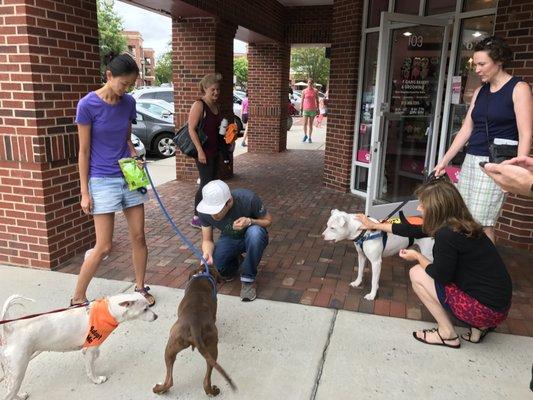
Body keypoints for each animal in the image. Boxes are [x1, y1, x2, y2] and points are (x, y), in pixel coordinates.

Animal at [154, 264, 237, 396]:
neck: (202, 273)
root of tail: (195, 324)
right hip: (211, 348)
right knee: (205, 380)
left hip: (171, 347)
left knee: (170, 380)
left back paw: (159, 389)